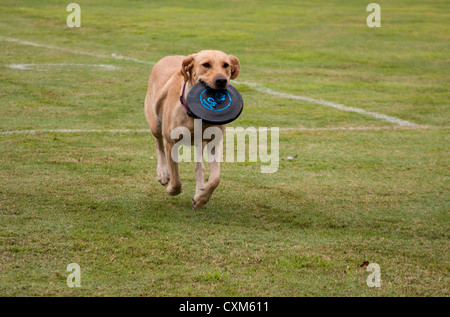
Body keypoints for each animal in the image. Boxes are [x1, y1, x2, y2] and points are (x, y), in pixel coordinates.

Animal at [146, 50, 241, 209]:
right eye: (206, 64)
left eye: (226, 65)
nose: (222, 80)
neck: (195, 116)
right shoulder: (170, 142)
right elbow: (176, 178)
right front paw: (172, 189)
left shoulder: (214, 142)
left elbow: (215, 178)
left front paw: (201, 198)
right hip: (155, 124)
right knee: (158, 143)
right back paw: (163, 173)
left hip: (199, 142)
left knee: (199, 168)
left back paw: (199, 190)